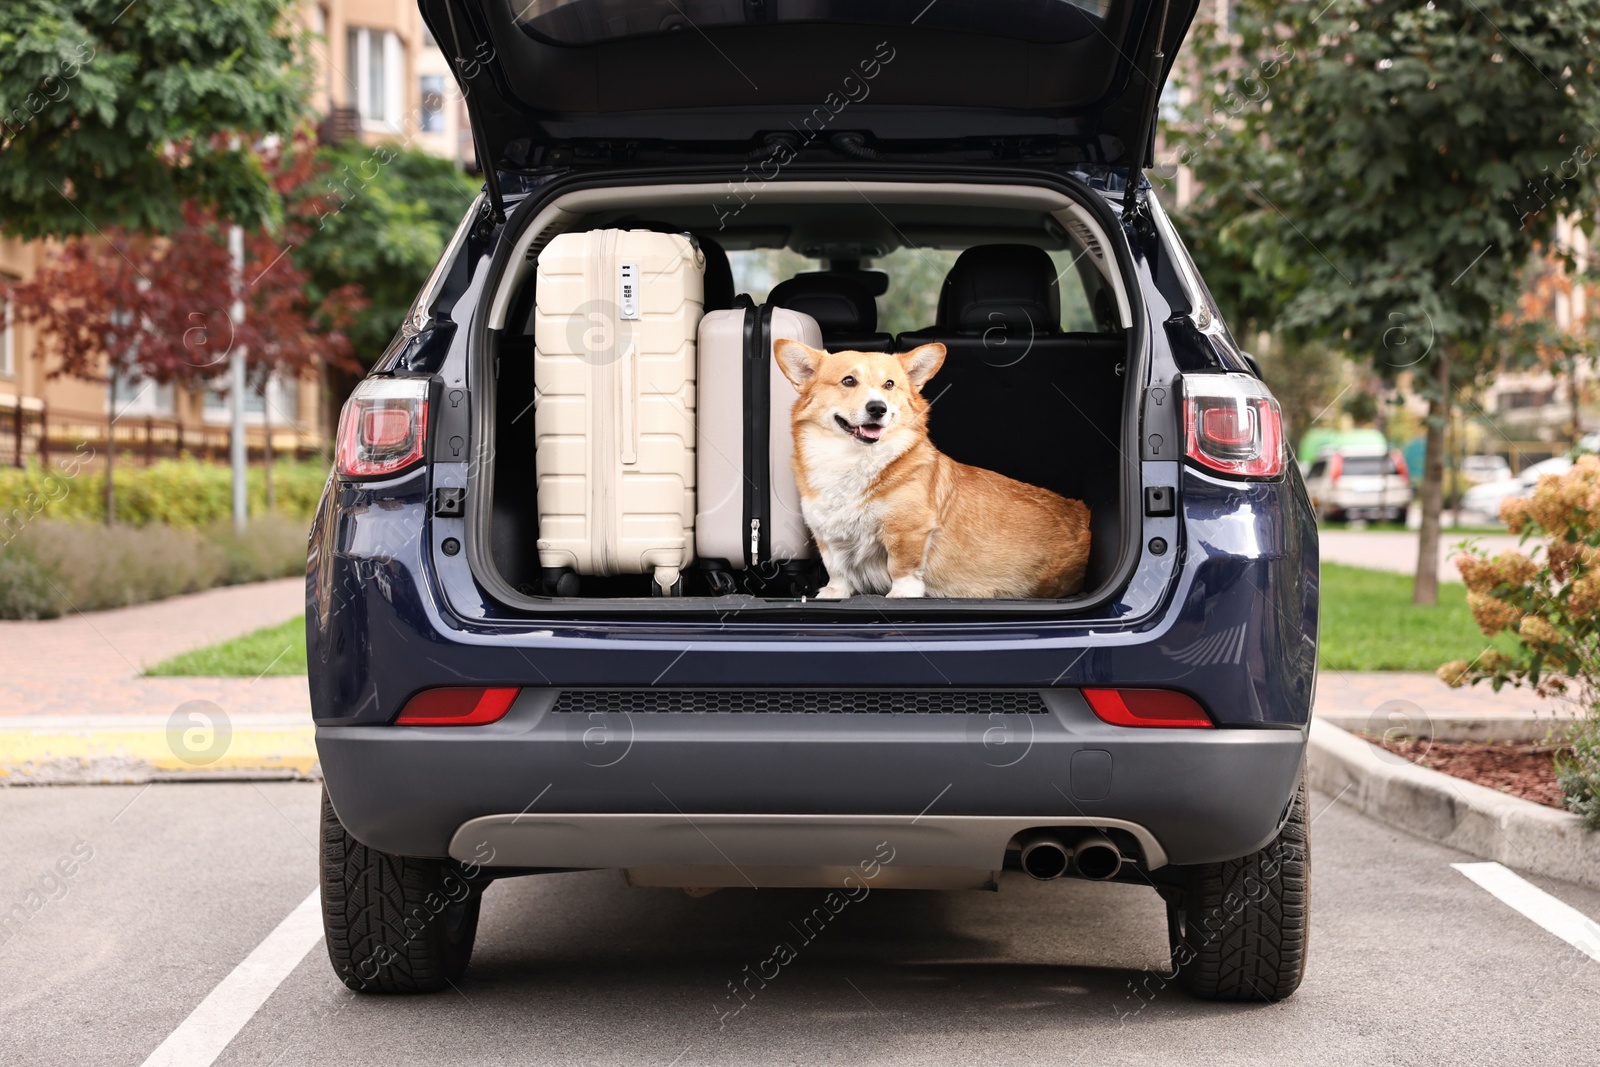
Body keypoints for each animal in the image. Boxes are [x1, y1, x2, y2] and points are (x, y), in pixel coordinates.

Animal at [771, 340, 1094, 601]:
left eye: (889, 385)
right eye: (848, 381)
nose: (878, 408)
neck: (852, 460)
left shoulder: (908, 529)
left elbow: (901, 566)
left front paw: (902, 595)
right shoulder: (826, 533)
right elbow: (836, 567)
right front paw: (833, 593)